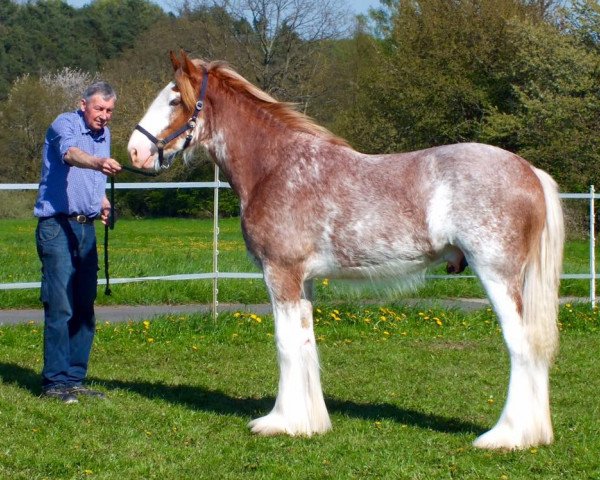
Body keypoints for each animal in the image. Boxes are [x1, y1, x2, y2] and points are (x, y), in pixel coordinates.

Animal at [126, 50, 564, 448]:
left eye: (174, 99)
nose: (134, 151)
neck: (276, 167)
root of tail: (529, 171)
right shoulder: (303, 282)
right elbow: (305, 344)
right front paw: (308, 422)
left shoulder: (280, 274)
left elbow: (285, 346)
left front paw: (279, 423)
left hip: (497, 276)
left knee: (521, 346)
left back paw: (506, 436)